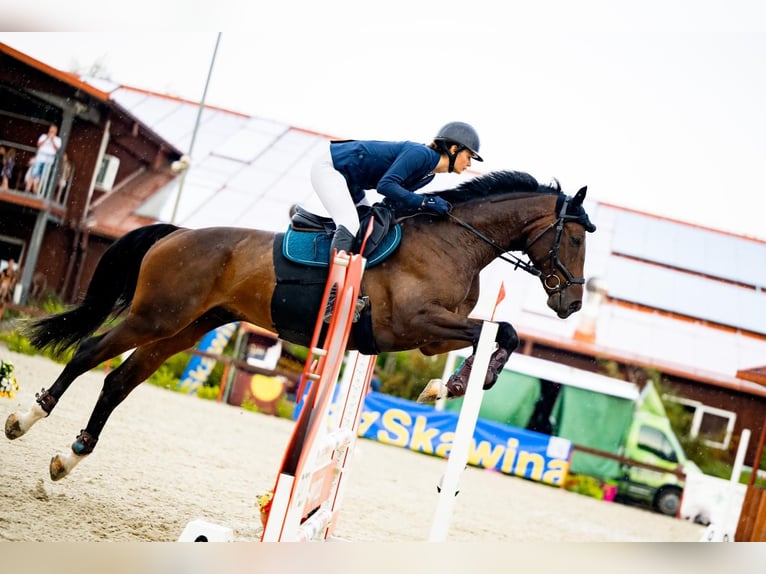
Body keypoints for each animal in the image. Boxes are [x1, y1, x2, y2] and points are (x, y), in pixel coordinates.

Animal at [3, 170, 596, 482]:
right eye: (575, 237)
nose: (571, 304)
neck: (456, 240)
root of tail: (177, 234)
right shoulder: (416, 322)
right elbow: (503, 333)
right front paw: (450, 386)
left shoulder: (428, 336)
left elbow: (501, 335)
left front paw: (446, 385)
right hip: (157, 315)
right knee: (88, 353)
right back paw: (27, 419)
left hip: (187, 328)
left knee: (118, 381)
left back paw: (70, 456)